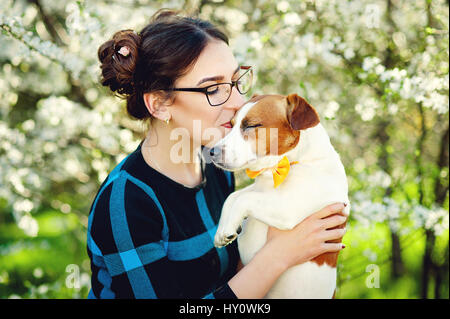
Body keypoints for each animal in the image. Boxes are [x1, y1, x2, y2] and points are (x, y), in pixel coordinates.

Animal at [209, 93, 350, 300]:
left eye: (251, 125)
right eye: (231, 124)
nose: (212, 152)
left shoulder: (287, 210)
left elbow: (243, 199)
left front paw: (227, 227)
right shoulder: (259, 190)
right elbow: (232, 197)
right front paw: (222, 230)